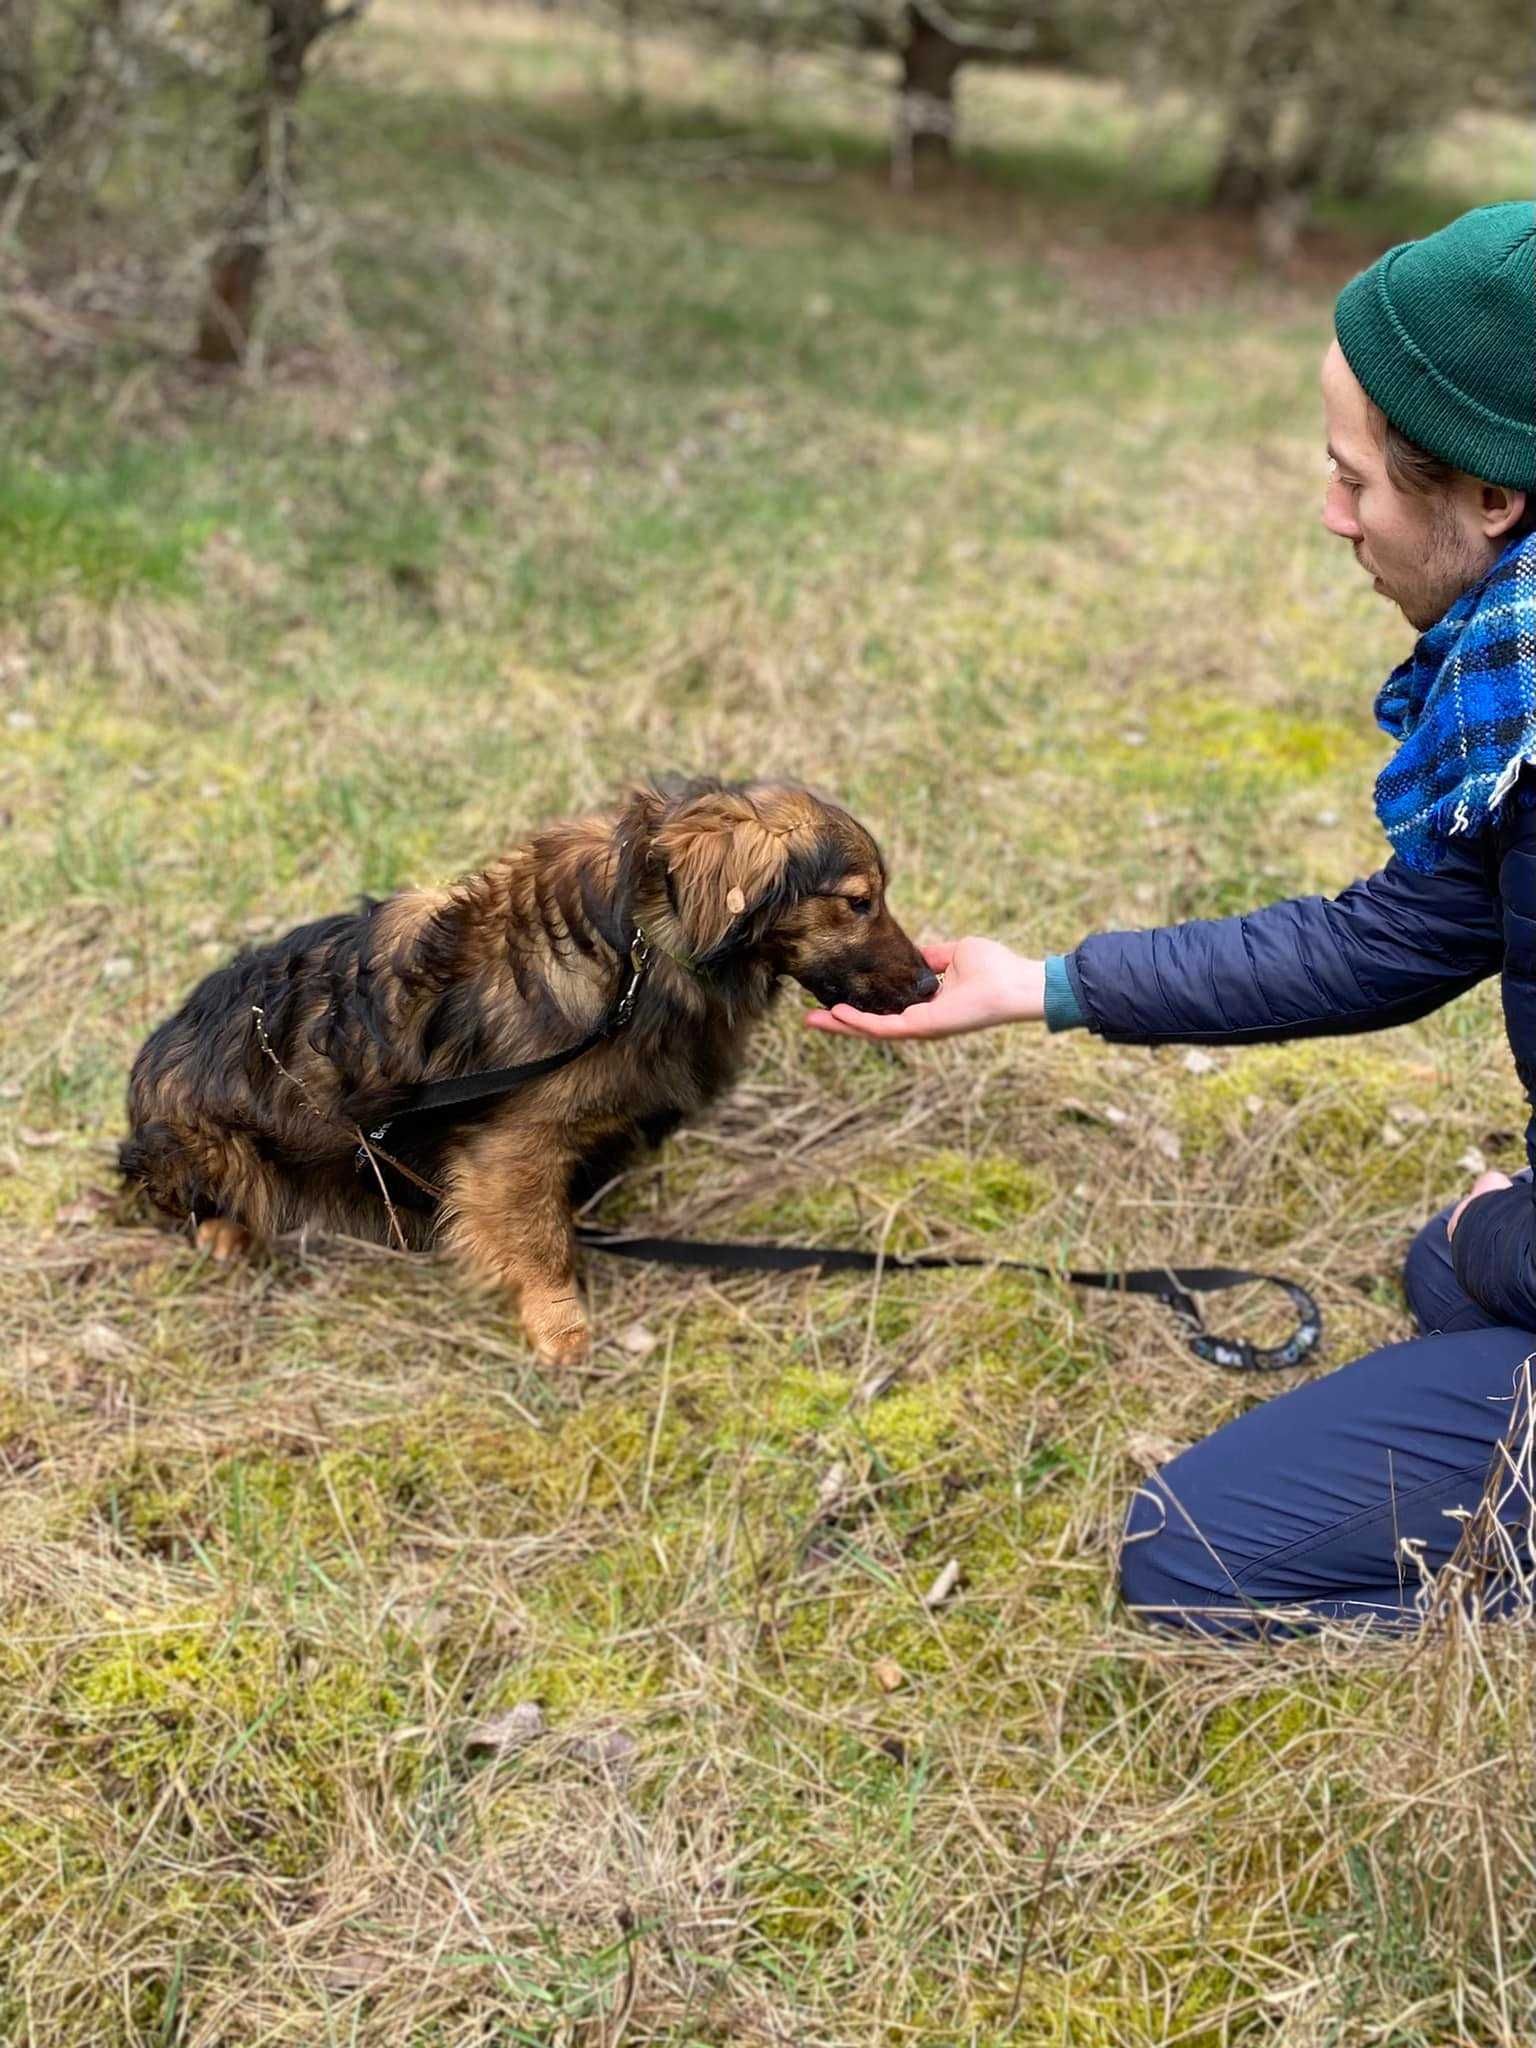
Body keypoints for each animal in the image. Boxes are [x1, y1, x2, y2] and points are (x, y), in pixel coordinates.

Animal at [123, 778, 937, 1359]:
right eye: (859, 902)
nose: (931, 984)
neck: (639, 950)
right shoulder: (508, 1146)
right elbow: (538, 1235)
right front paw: (559, 1322)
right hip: (217, 1152)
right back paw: (225, 1232)